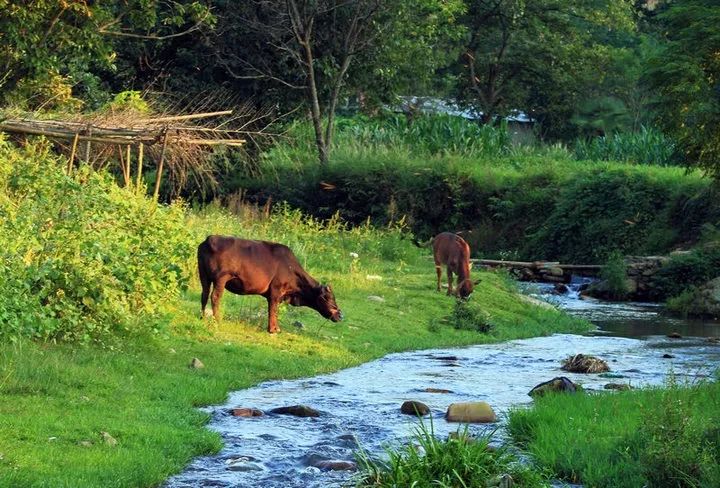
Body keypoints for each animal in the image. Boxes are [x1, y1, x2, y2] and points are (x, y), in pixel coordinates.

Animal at [197, 235, 344, 334]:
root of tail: (210, 238)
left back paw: (202, 316)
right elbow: (273, 309)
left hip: (203, 275)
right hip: (221, 277)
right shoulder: (275, 291)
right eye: (329, 297)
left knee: (204, 294)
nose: (341, 315)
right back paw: (216, 320)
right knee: (215, 297)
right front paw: (273, 329)